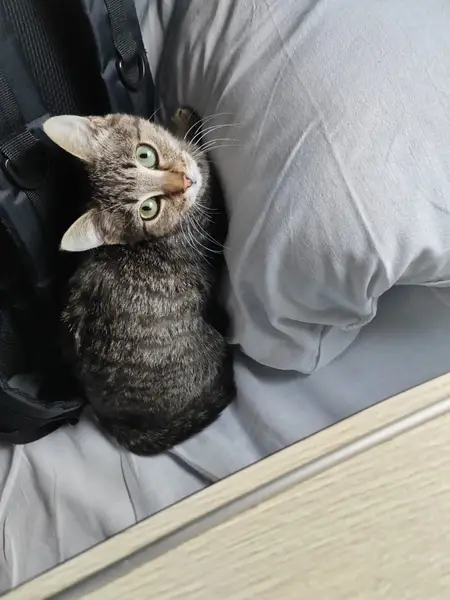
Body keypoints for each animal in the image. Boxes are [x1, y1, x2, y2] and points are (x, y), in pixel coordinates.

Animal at [43, 108, 236, 455]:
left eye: (145, 155)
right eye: (148, 209)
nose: (185, 180)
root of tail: (117, 422)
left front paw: (180, 121)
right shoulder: (212, 220)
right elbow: (205, 162)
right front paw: (190, 125)